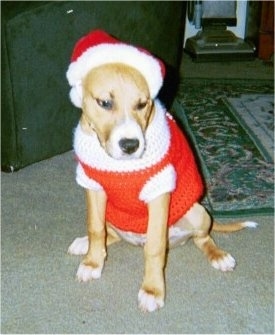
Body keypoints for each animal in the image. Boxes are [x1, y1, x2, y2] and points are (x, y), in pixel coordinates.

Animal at [67, 30, 258, 314]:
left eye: (142, 104)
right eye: (104, 103)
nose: (131, 145)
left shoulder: (158, 189)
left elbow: (155, 248)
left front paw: (152, 290)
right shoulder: (93, 185)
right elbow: (95, 229)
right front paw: (92, 262)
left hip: (198, 213)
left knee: (202, 239)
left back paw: (219, 256)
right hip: (114, 216)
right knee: (111, 234)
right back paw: (85, 245)